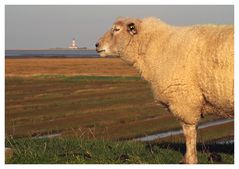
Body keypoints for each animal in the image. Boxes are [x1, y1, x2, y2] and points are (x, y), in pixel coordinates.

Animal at [95, 16, 233, 163]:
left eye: (116, 29)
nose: (97, 45)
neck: (159, 45)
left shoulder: (184, 100)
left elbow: (189, 133)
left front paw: (190, 159)